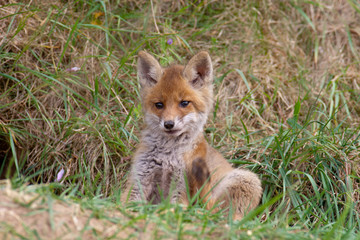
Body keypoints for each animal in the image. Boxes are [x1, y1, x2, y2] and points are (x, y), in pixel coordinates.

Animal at [124, 50, 262, 219]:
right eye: (159, 105)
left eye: (184, 103)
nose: (169, 124)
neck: (167, 155)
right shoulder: (140, 179)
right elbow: (125, 204)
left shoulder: (181, 186)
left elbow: (171, 210)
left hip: (247, 179)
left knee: (215, 213)